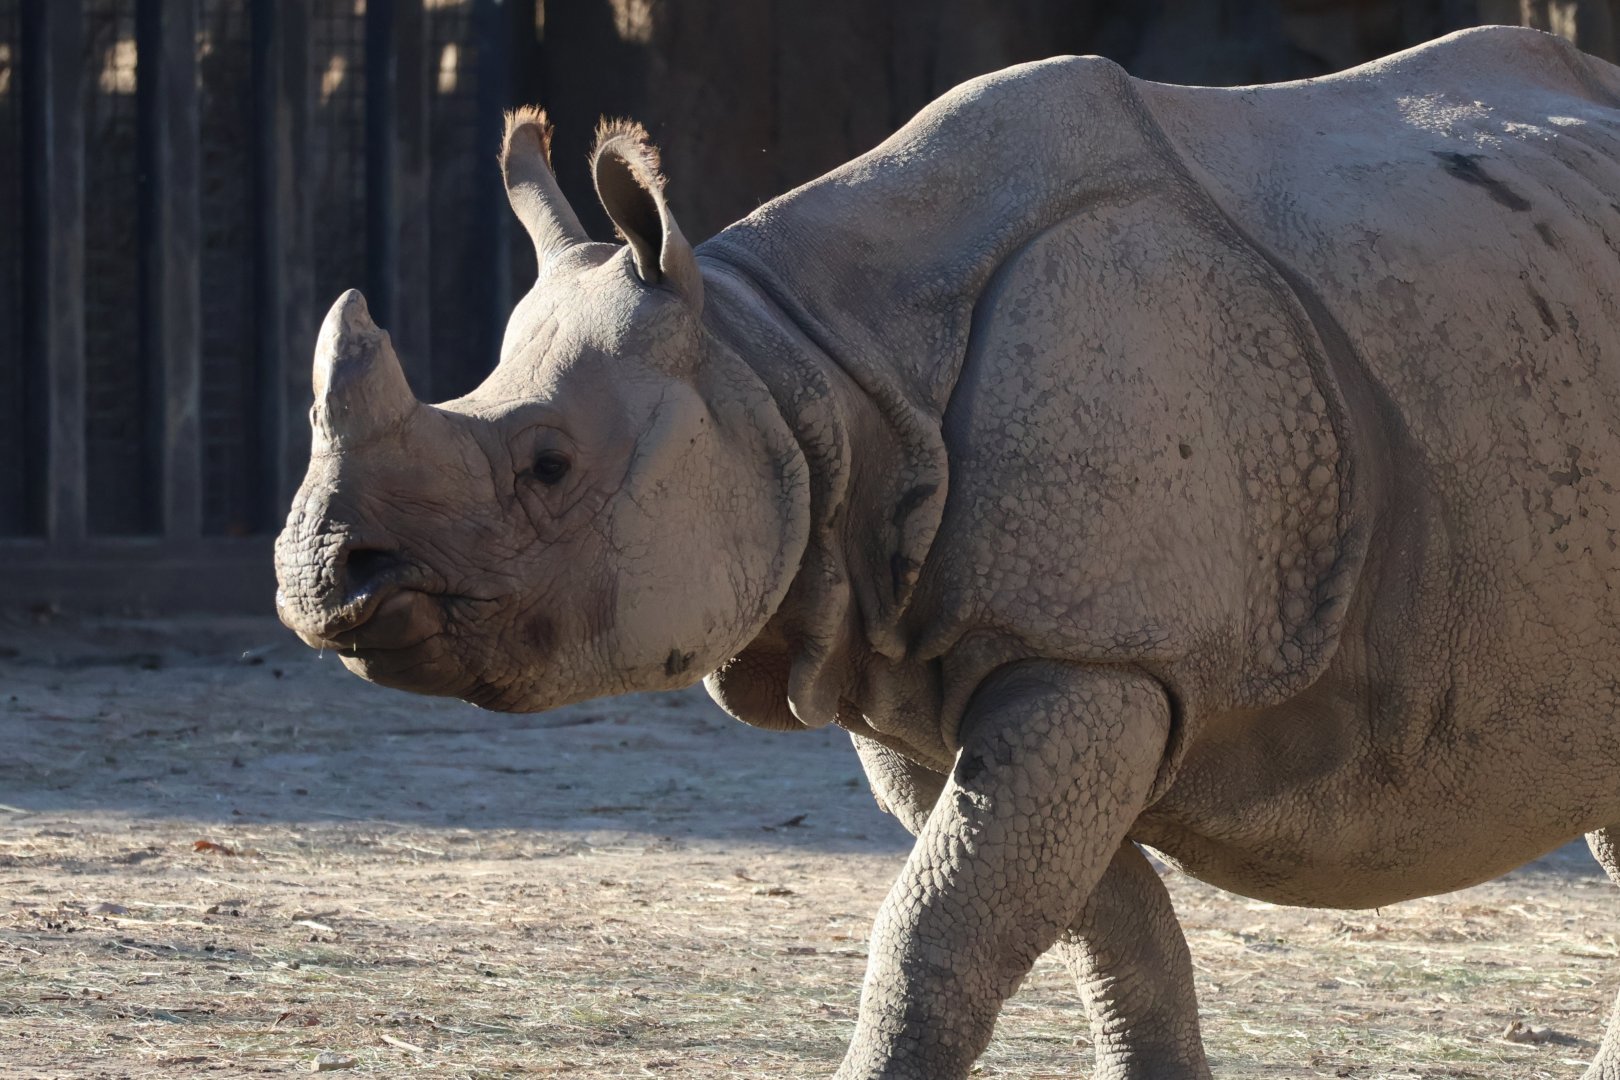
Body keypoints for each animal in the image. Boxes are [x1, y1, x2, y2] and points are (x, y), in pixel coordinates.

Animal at [274, 25, 1620, 1079]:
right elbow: (1100, 932)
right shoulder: (918, 670)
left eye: (549, 467)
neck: (789, 365)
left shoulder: (1094, 656)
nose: (323, 581)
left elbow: (939, 935)